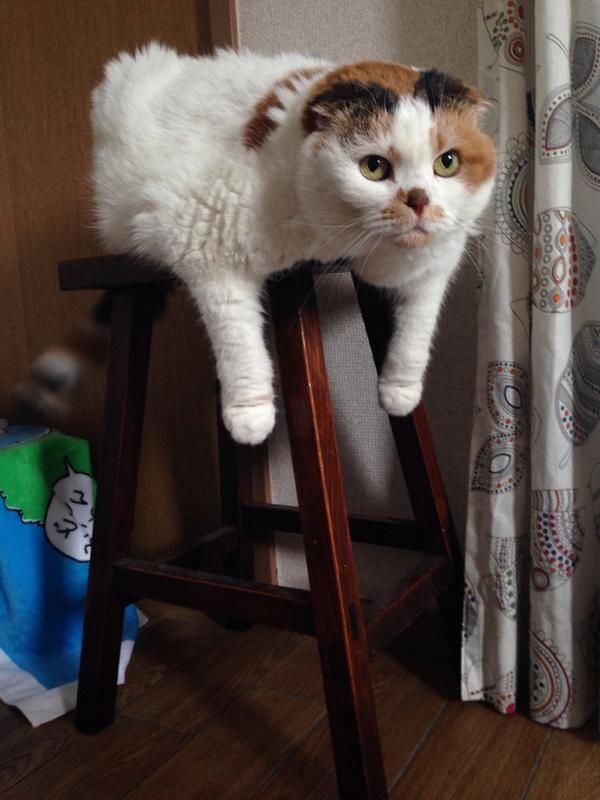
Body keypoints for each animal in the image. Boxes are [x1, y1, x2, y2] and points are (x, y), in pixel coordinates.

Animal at [21, 43, 494, 446]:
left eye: (447, 162)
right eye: (374, 167)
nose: (419, 200)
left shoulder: (433, 256)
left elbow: (419, 321)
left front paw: (400, 389)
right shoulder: (201, 240)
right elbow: (237, 337)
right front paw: (250, 414)